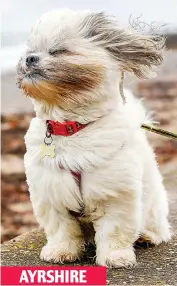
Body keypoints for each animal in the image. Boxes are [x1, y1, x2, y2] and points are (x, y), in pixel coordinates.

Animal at [17, 9, 171, 268]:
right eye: (31, 50)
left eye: (58, 51)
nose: (29, 59)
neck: (72, 127)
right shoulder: (51, 192)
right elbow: (61, 229)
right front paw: (60, 251)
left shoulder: (114, 192)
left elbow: (115, 229)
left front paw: (116, 256)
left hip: (153, 204)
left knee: (157, 224)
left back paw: (148, 236)